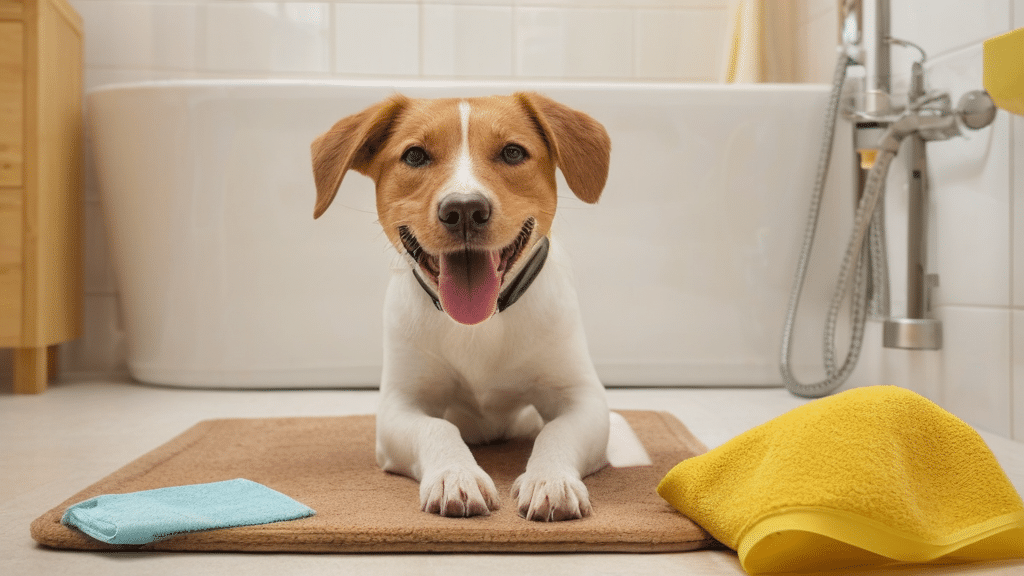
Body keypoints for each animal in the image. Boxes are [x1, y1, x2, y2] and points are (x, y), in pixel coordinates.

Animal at [311, 93, 610, 520]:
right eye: (415, 155)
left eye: (513, 152)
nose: (465, 209)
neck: (478, 325)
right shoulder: (398, 406)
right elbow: (438, 427)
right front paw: (455, 474)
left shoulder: (583, 397)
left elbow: (556, 430)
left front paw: (550, 479)